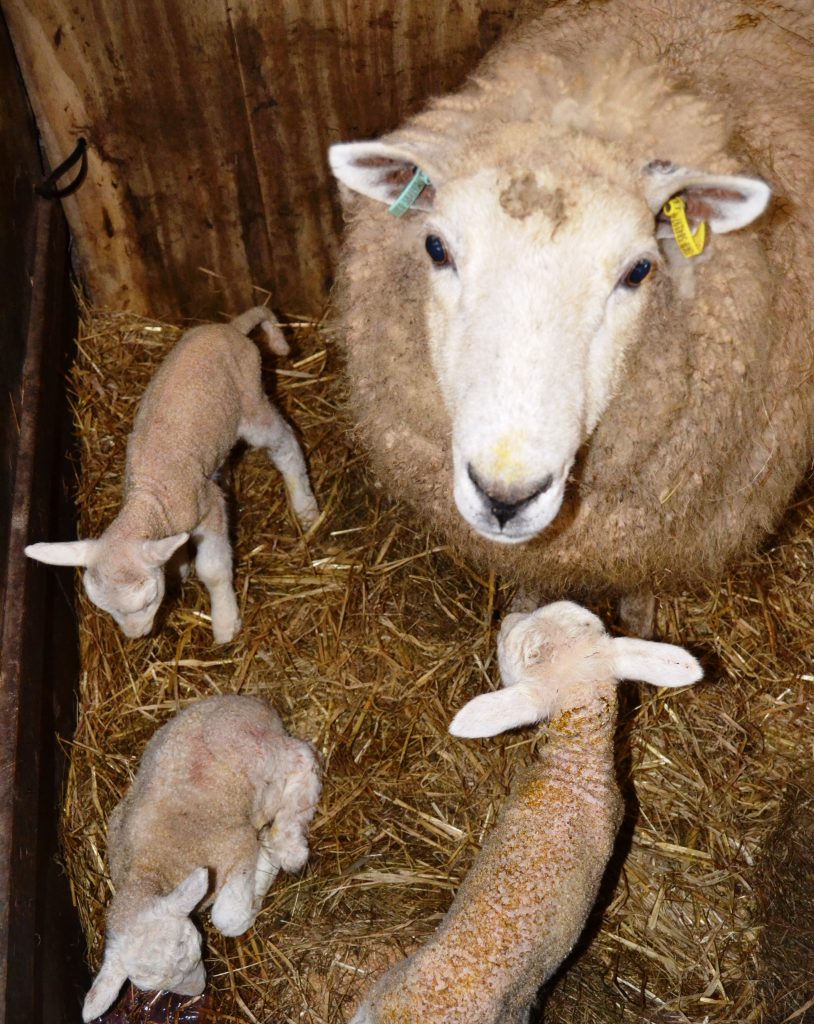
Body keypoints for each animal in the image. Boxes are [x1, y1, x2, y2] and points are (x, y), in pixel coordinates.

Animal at [25, 306, 319, 642]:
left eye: (149, 600)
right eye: (105, 608)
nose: (137, 636)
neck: (148, 500)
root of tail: (229, 328)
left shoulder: (208, 510)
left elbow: (213, 570)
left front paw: (225, 623)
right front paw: (178, 567)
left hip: (251, 398)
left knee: (285, 443)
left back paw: (306, 506)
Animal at [81, 694, 322, 1022]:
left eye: (197, 947)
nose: (199, 990)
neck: (148, 869)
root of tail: (253, 703)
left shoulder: (235, 844)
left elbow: (228, 918)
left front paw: (263, 874)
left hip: (259, 752)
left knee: (301, 758)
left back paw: (288, 844)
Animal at [328, 0, 814, 619]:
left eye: (638, 270)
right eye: (436, 248)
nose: (505, 497)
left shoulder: (651, 539)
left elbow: (638, 587)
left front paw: (640, 622)